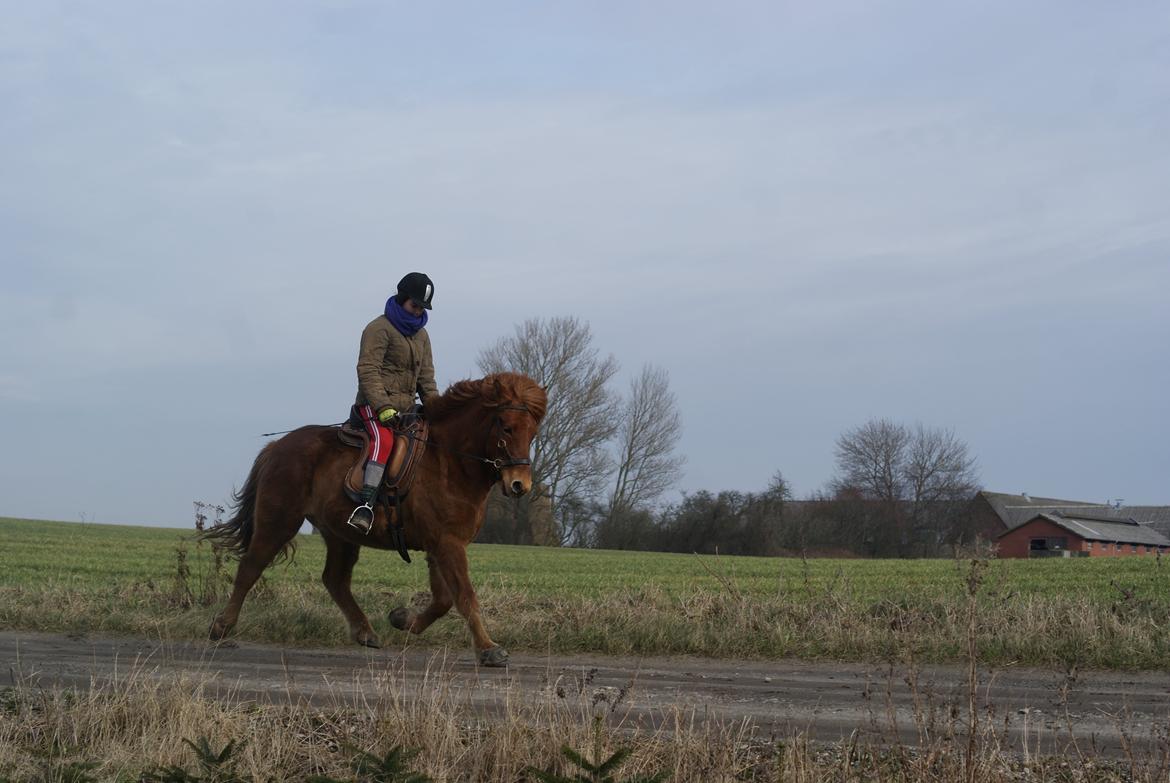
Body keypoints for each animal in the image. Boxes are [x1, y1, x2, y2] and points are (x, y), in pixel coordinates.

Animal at [202, 372, 547, 664]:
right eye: (506, 426)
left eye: (532, 431)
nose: (520, 484)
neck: (449, 461)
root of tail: (277, 447)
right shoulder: (447, 544)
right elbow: (464, 596)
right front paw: (489, 649)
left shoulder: (440, 545)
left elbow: (443, 600)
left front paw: (404, 619)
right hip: (279, 522)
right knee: (251, 567)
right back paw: (221, 628)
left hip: (340, 534)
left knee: (335, 579)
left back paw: (365, 631)